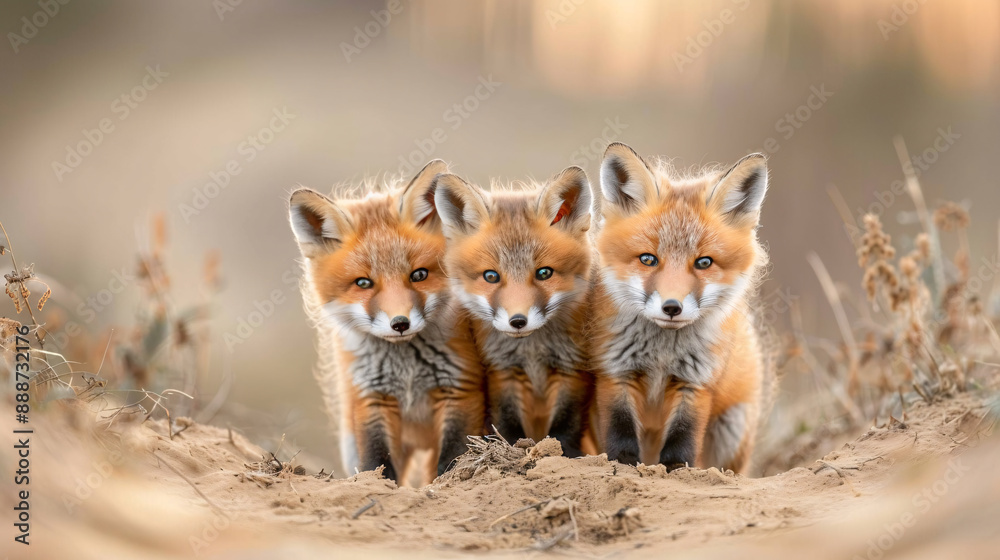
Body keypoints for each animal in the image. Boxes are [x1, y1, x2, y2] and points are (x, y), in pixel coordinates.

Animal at [287, 160, 485, 487]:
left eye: (419, 275)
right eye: (363, 283)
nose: (400, 323)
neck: (407, 370)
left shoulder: (460, 390)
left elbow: (451, 460)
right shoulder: (372, 400)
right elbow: (376, 461)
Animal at [432, 166, 596, 457]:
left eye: (544, 273)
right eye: (491, 276)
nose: (518, 321)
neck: (533, 352)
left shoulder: (572, 368)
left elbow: (566, 423)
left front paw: (563, 454)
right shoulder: (502, 369)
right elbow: (507, 421)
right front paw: (512, 449)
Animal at [589, 142, 772, 474]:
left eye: (704, 262)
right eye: (648, 259)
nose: (672, 307)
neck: (661, 355)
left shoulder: (696, 382)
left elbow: (684, 436)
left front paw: (677, 470)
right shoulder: (615, 370)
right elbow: (620, 429)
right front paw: (622, 464)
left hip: (733, 426)